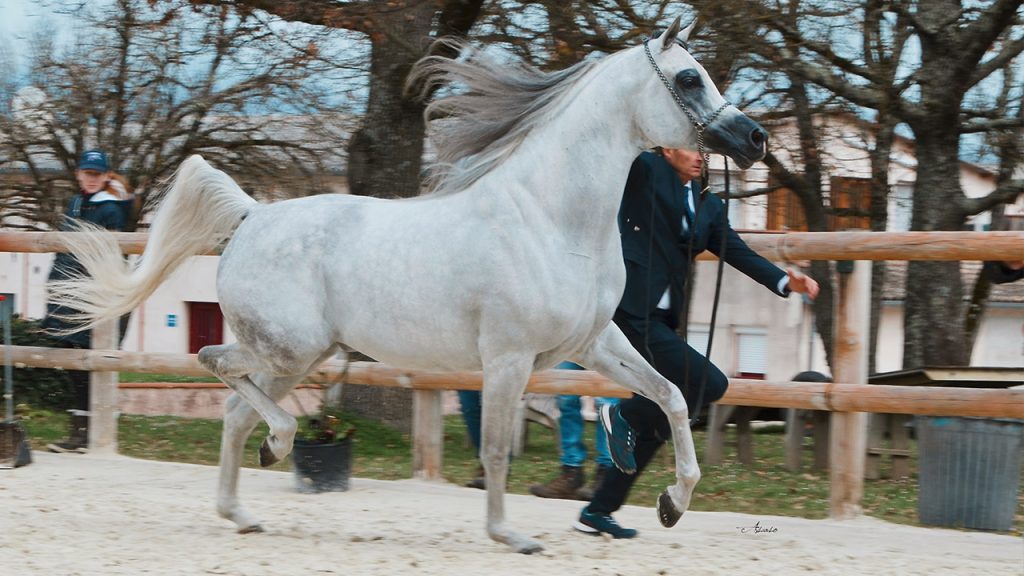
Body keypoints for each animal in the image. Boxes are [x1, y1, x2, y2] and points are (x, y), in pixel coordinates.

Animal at [49, 16, 766, 554]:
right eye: (688, 77)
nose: (753, 137)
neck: (548, 216)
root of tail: (253, 215)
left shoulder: (592, 344)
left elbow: (672, 396)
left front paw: (672, 502)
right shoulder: (507, 360)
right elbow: (498, 450)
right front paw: (510, 536)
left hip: (294, 357)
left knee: (231, 413)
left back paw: (244, 510)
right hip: (287, 347)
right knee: (213, 362)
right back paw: (278, 445)